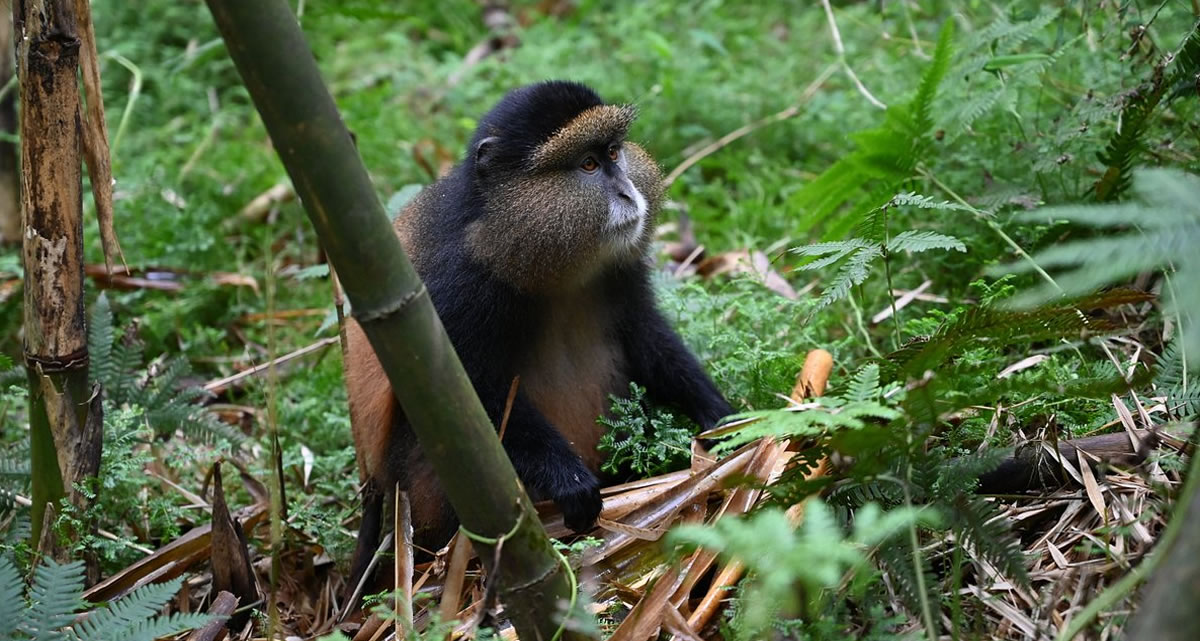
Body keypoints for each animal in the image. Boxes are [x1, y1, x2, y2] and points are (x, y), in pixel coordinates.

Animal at [342, 80, 732, 593]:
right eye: (587, 165)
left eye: (613, 153)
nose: (628, 193)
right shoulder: (461, 285)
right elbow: (466, 399)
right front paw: (569, 481)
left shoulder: (621, 269)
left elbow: (645, 335)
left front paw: (719, 414)